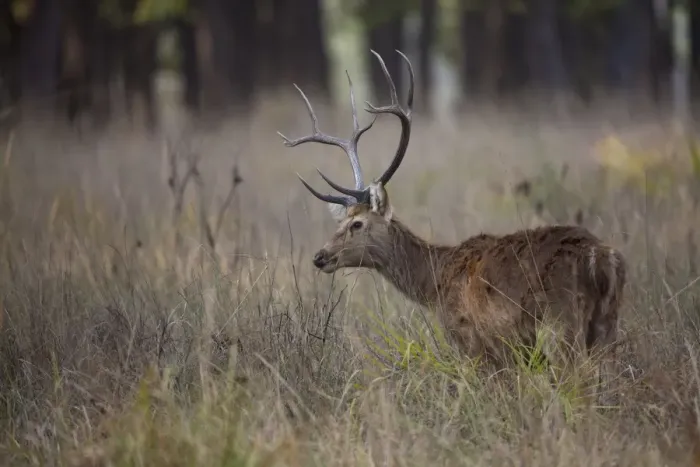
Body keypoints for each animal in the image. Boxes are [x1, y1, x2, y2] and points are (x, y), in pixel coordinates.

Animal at [277, 50, 626, 404]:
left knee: (579, 385)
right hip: (607, 324)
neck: (435, 282)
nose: (320, 256)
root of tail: (602, 260)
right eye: (341, 221)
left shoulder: (472, 339)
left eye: (357, 224)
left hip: (561, 323)